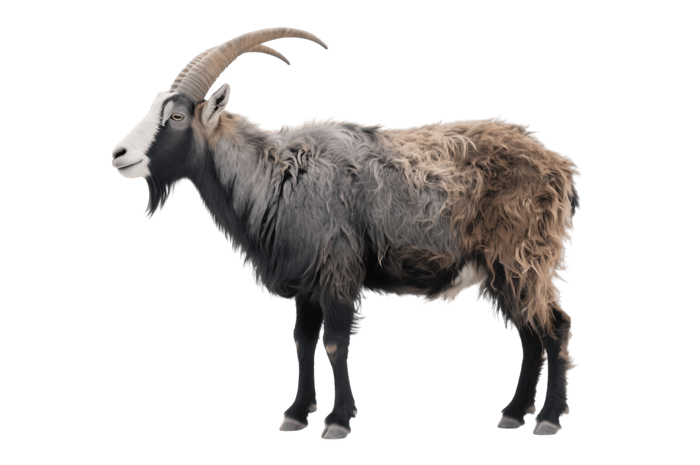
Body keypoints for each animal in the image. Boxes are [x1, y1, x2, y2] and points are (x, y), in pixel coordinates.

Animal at [111, 27, 581, 439]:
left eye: (176, 115)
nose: (119, 154)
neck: (281, 174)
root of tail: (558, 166)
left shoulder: (337, 271)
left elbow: (335, 343)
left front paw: (337, 421)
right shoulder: (306, 281)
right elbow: (302, 341)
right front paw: (296, 414)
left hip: (525, 259)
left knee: (554, 327)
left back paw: (548, 419)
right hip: (506, 272)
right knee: (530, 334)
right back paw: (514, 414)